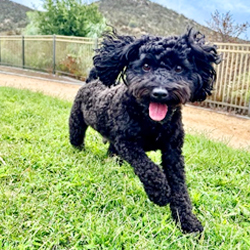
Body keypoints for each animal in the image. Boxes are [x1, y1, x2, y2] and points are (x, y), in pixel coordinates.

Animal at [69, 29, 221, 234]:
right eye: (146, 66)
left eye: (179, 68)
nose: (160, 93)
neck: (152, 123)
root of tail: (92, 81)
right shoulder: (127, 143)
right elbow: (148, 167)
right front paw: (160, 193)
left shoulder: (173, 152)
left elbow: (180, 189)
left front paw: (188, 222)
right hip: (77, 122)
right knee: (76, 137)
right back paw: (80, 150)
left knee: (111, 152)